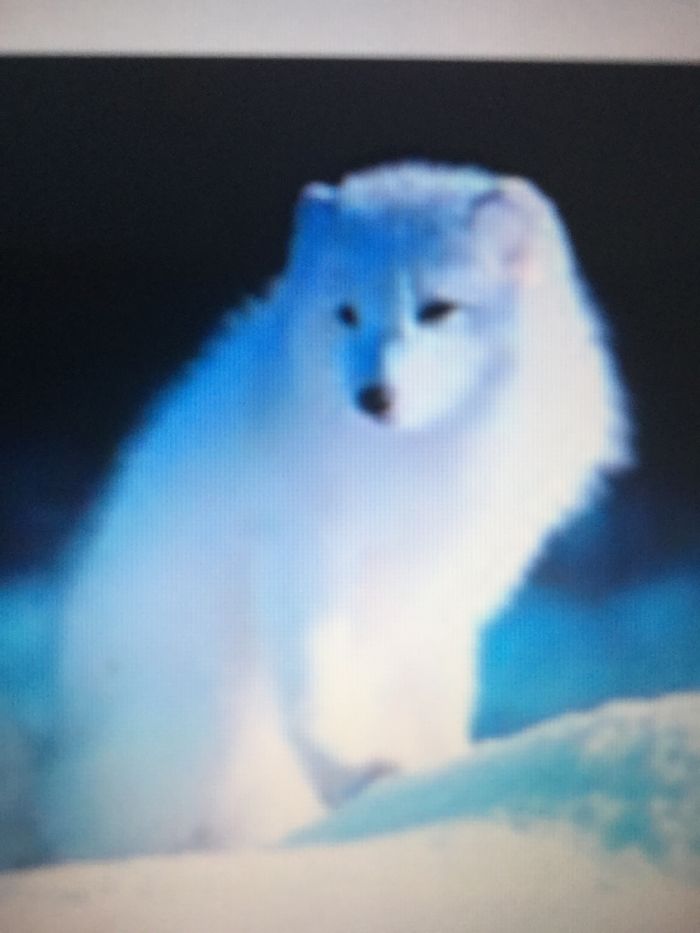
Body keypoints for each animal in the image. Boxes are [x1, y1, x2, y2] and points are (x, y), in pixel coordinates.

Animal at [40, 162, 631, 860]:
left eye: (437, 309)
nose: (373, 396)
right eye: (346, 314)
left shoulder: (440, 598)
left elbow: (438, 706)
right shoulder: (297, 556)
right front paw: (356, 780)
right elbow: (312, 693)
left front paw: (449, 780)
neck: (410, 466)